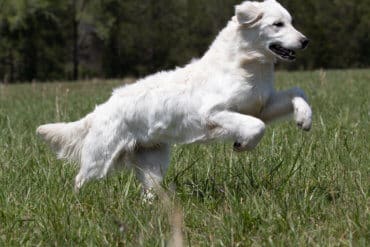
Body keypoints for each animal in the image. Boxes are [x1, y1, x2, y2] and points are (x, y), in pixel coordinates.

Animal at [37, 0, 310, 197]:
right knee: (79, 180)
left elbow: (298, 92)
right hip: (99, 161)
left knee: (148, 193)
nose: (305, 41)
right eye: (277, 24)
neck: (246, 66)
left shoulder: (262, 105)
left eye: (291, 22)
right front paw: (242, 145)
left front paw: (304, 118)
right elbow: (257, 126)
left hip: (153, 164)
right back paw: (77, 204)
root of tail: (100, 110)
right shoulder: (214, 113)